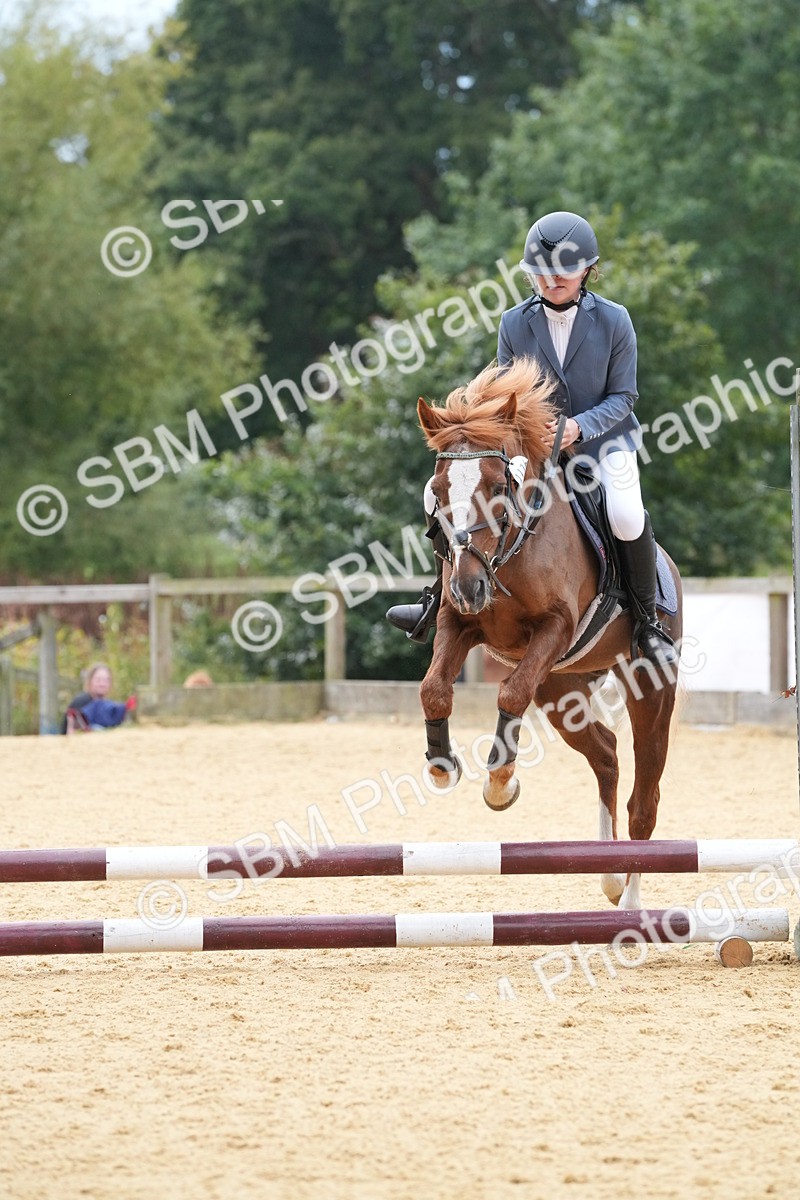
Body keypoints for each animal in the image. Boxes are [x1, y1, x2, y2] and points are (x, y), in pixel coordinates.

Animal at [416, 357, 683, 910]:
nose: (469, 585)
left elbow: (511, 693)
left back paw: (631, 904)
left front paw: (499, 785)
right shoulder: (459, 621)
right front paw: (441, 764)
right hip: (563, 690)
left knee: (644, 800)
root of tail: (669, 567)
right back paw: (609, 876)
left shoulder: (555, 627)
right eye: (439, 488)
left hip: (649, 690)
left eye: (497, 485)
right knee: (606, 755)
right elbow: (433, 689)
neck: (510, 549)